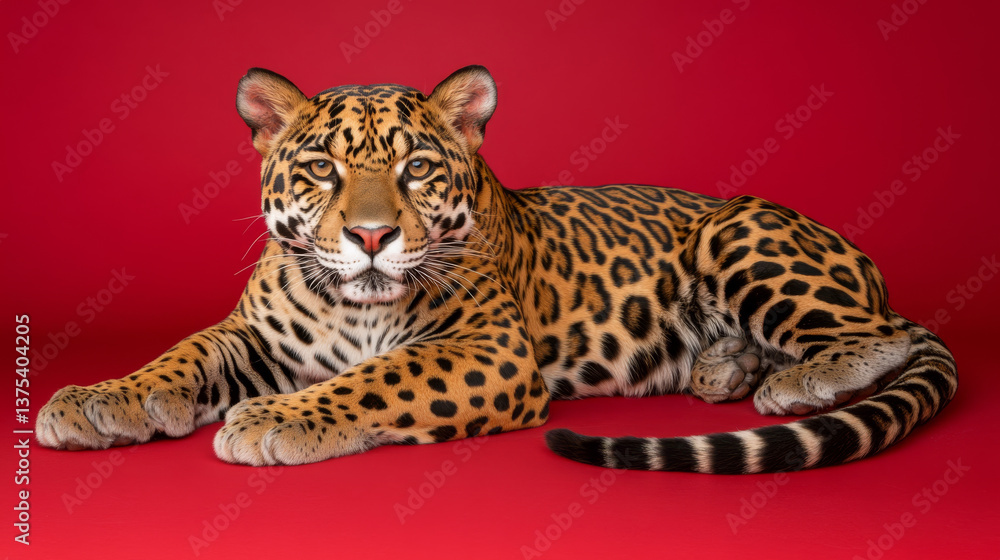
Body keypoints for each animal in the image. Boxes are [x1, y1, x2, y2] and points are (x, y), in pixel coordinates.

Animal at [37, 66, 958, 473]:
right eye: (322, 171)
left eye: (416, 170)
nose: (370, 236)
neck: (351, 307)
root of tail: (864, 264)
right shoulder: (256, 335)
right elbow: (181, 354)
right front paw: (96, 401)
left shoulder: (489, 351)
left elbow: (376, 378)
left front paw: (272, 418)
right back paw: (723, 368)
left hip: (737, 230)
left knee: (877, 337)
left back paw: (799, 381)